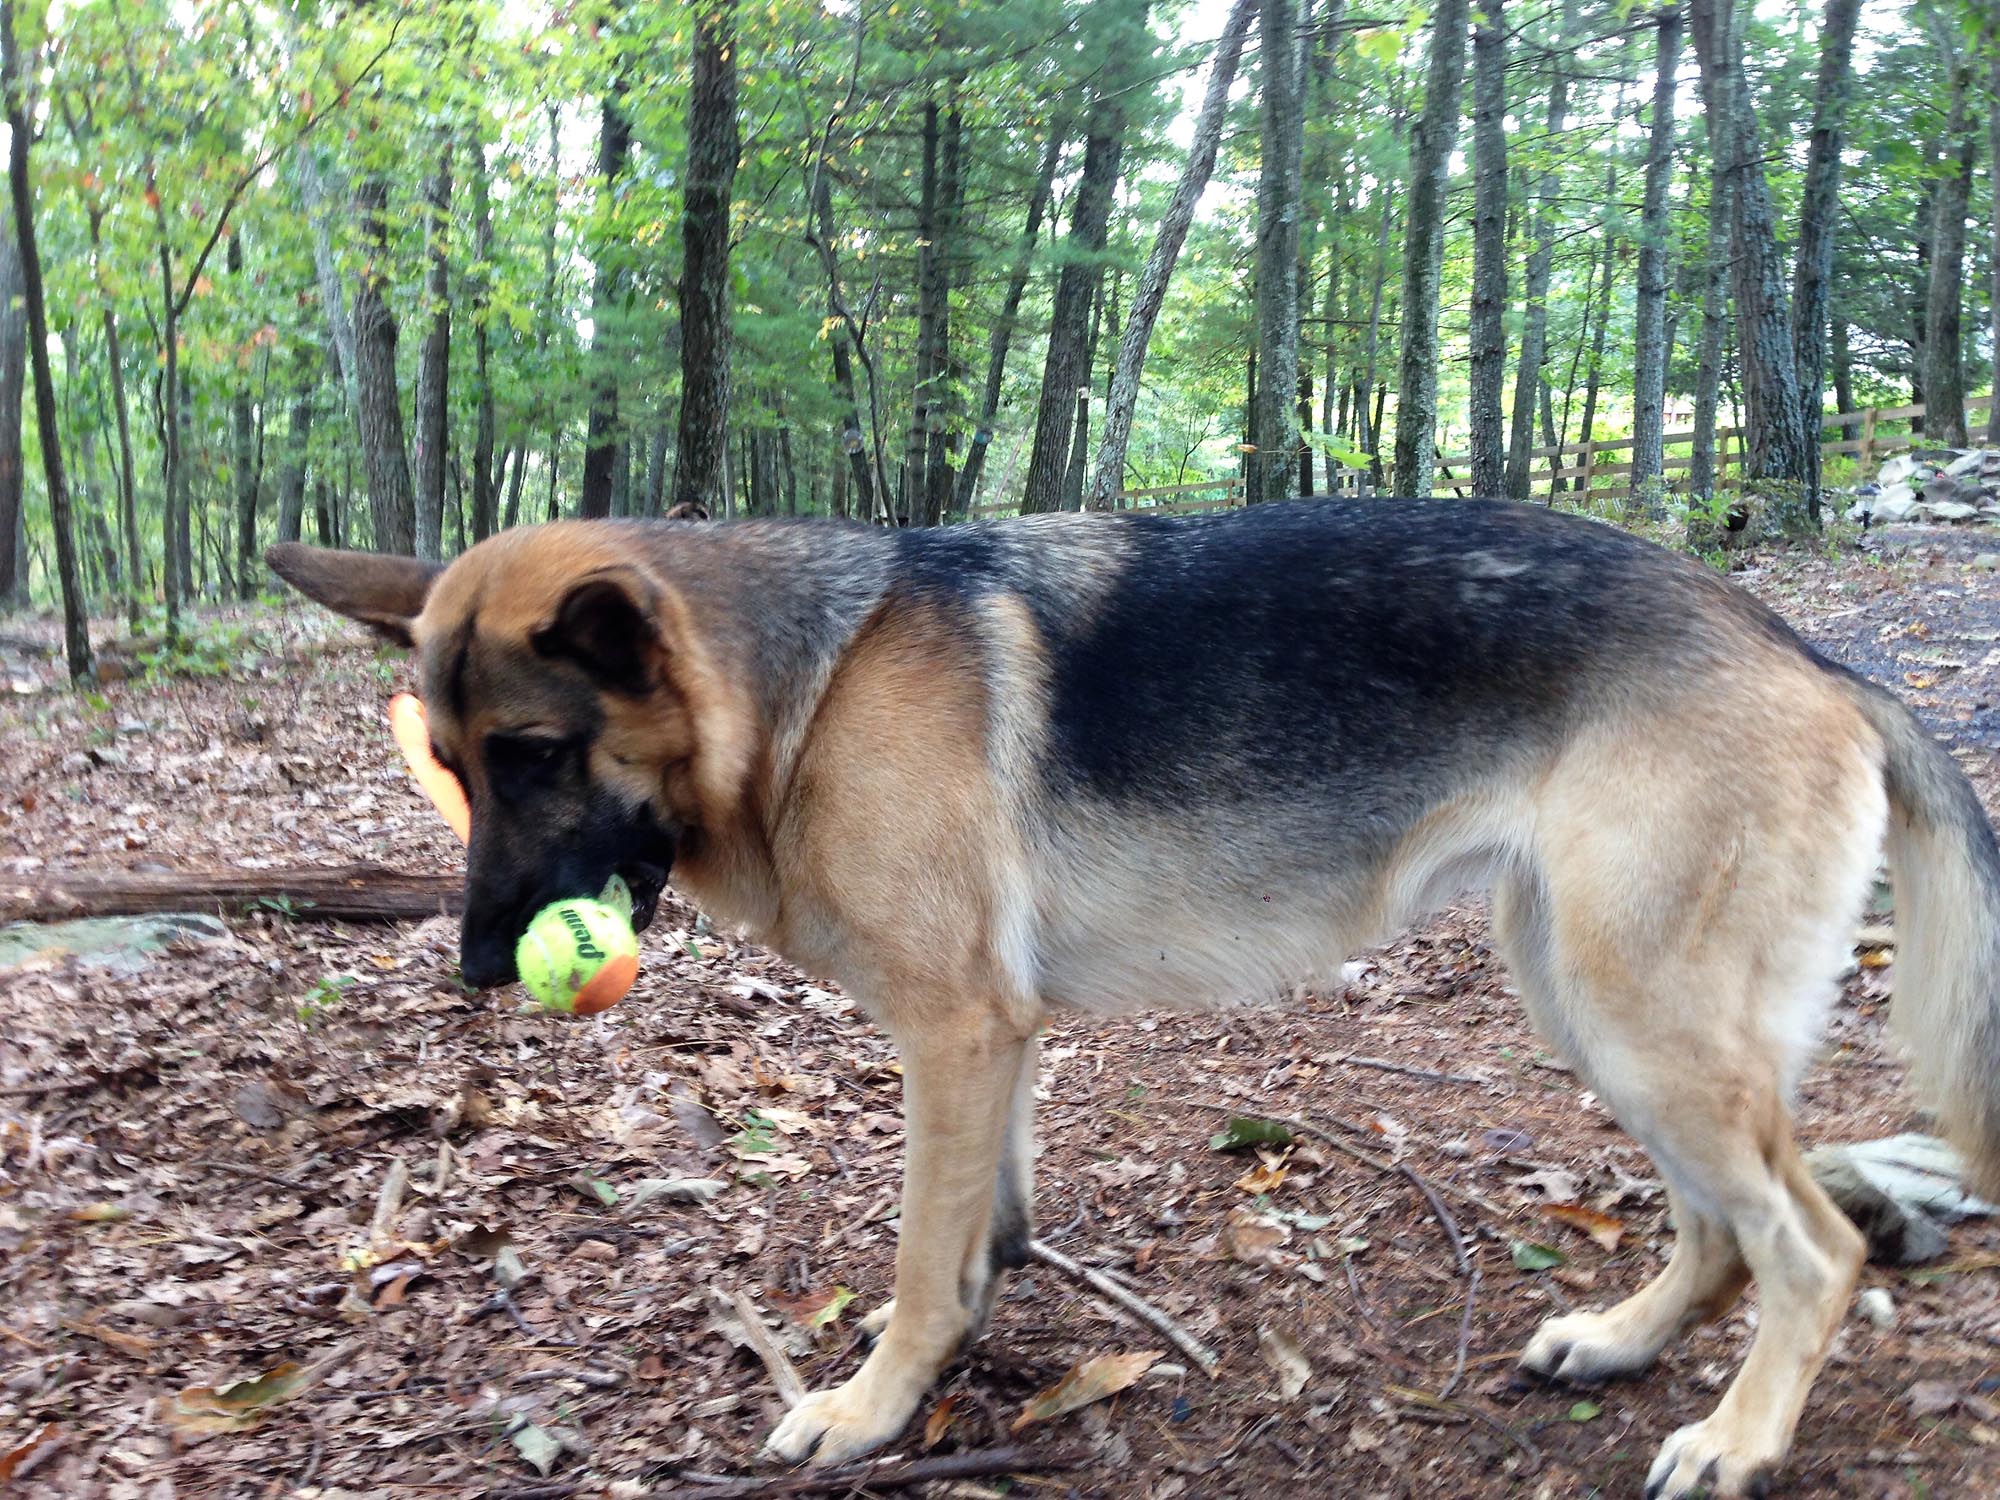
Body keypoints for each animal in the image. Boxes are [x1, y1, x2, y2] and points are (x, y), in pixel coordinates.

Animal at [274, 508, 2000, 1500]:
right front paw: (963, 1351)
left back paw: (1741, 1439)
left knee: (1813, 1245)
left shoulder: (957, 1033)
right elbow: (982, 1233)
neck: (805, 687)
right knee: (1720, 1231)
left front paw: (875, 1410)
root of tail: (1810, 651)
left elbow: (921, 1260)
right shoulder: (996, 1042)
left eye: (537, 756)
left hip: (1647, 1020)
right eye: (448, 764)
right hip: (1593, 1004)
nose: (476, 967)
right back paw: (1627, 1345)